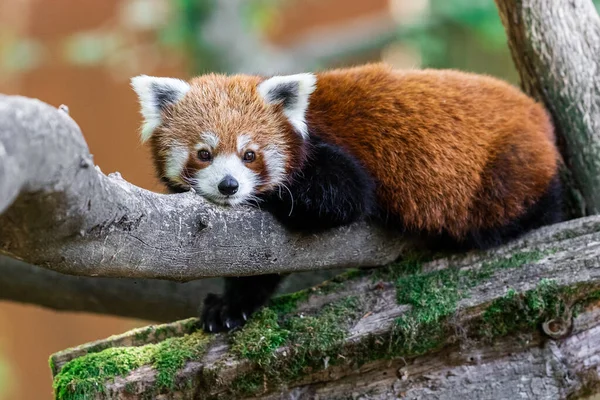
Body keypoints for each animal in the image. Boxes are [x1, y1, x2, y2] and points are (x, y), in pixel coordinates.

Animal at [131, 61, 564, 332]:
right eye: (204, 153)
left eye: (249, 155)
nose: (229, 186)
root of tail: (537, 115)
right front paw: (230, 306)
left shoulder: (332, 157)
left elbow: (343, 197)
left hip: (507, 168)